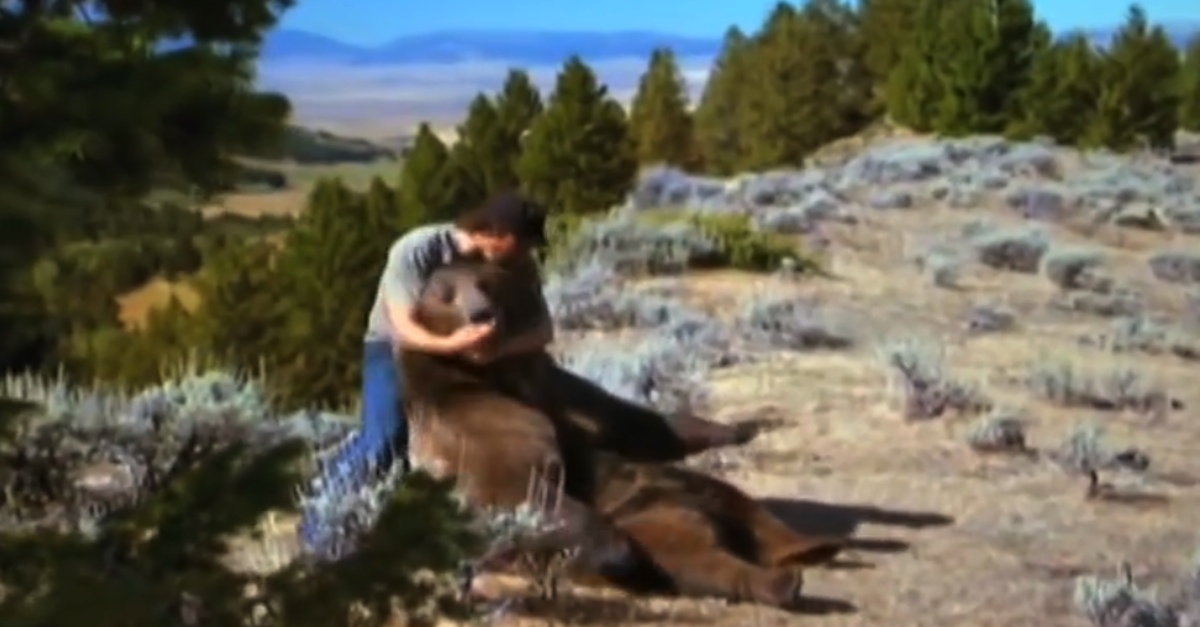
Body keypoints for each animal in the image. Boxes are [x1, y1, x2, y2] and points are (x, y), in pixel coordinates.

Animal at [398, 257, 840, 605]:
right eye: (447, 295)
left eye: (487, 283)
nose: (481, 313)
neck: (496, 372)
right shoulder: (477, 417)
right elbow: (519, 484)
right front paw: (612, 548)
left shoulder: (552, 387)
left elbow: (633, 421)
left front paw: (749, 424)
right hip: (651, 525)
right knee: (695, 558)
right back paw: (783, 581)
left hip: (683, 492)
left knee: (743, 510)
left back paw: (813, 546)